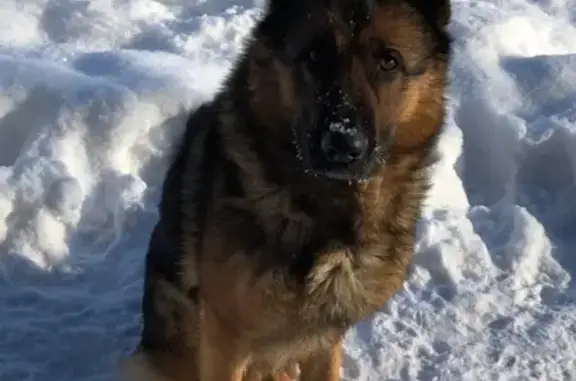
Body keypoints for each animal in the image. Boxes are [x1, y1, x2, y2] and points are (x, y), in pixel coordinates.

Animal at [119, 0, 452, 378]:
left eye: (389, 61)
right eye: (315, 55)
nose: (341, 144)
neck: (329, 216)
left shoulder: (325, 339)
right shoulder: (224, 339)